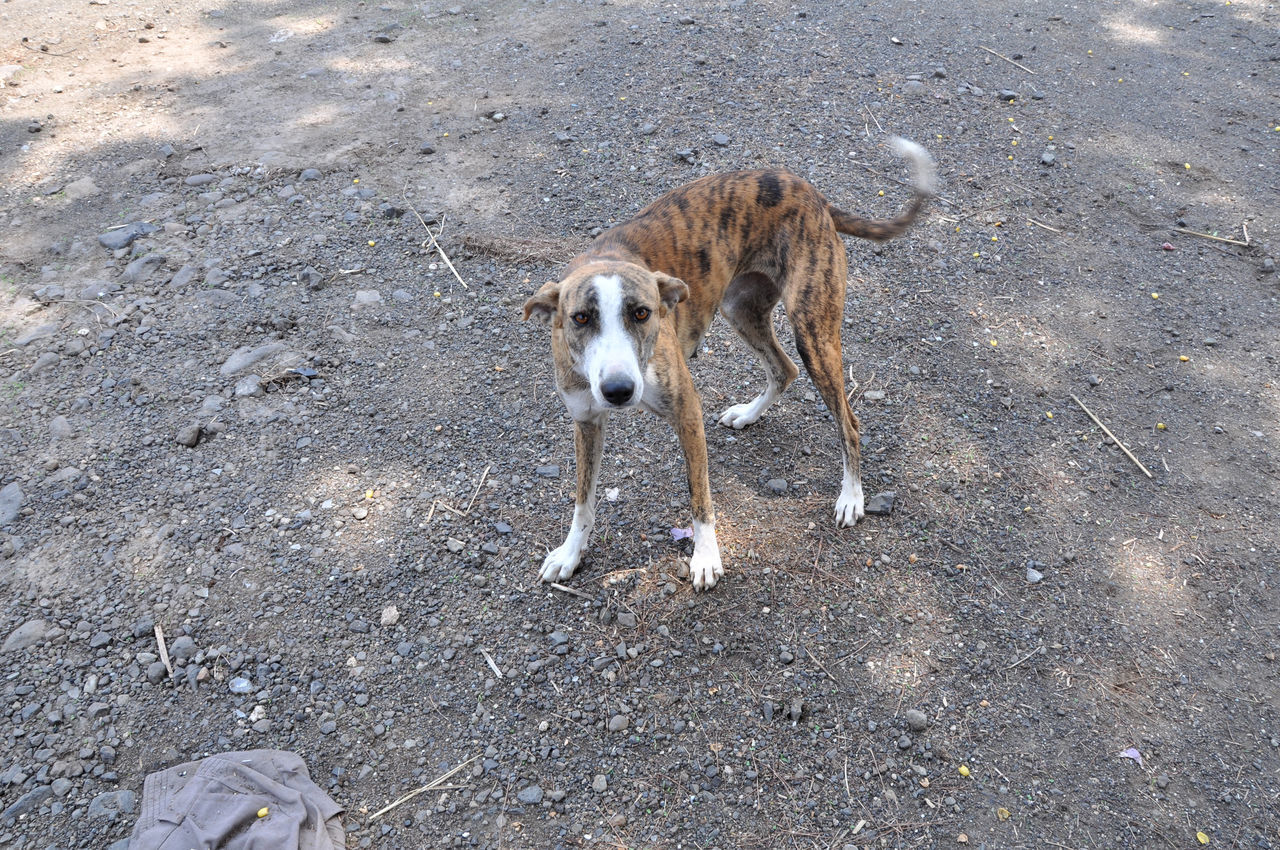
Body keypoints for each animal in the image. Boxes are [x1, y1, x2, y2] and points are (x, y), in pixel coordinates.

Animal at [524, 139, 936, 591]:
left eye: (642, 313)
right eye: (581, 318)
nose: (619, 391)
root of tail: (811, 192)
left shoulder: (687, 411)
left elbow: (700, 497)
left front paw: (706, 557)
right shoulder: (586, 421)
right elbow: (583, 500)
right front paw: (570, 553)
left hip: (813, 331)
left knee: (848, 420)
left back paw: (851, 496)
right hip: (739, 308)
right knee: (784, 369)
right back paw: (748, 414)